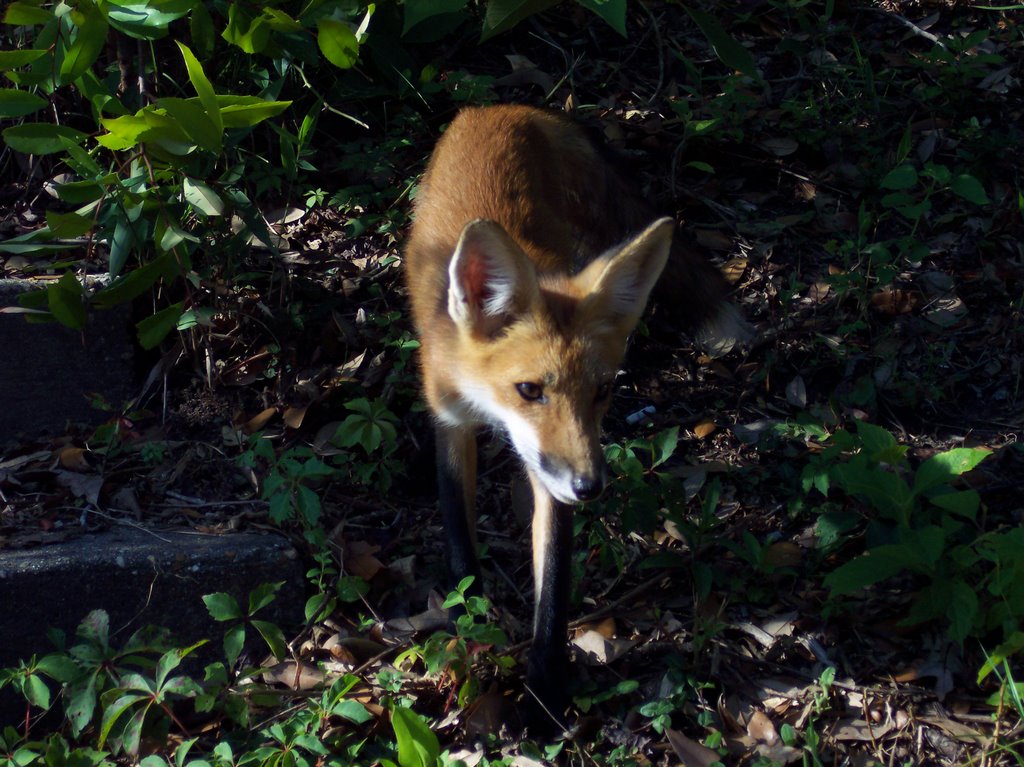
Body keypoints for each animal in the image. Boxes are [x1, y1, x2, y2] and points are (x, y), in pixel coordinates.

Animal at [401, 103, 745, 716]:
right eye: (529, 390)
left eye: (603, 391)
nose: (590, 487)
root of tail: (504, 107)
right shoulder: (451, 417)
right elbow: (459, 536)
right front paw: (471, 620)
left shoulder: (550, 473)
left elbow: (554, 583)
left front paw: (543, 693)